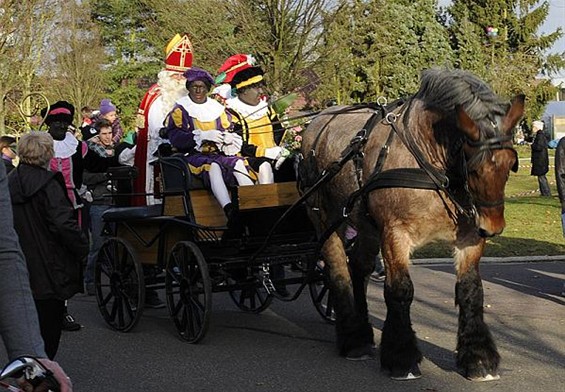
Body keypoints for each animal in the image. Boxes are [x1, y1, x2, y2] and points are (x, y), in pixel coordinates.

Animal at [300, 69, 524, 382]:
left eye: (510, 164)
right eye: (474, 168)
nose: (492, 227)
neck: (434, 167)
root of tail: (317, 122)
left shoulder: (469, 236)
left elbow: (471, 291)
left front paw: (478, 358)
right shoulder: (395, 233)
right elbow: (400, 290)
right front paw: (401, 357)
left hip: (366, 225)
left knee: (359, 269)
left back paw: (363, 333)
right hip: (325, 218)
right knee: (338, 271)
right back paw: (352, 339)